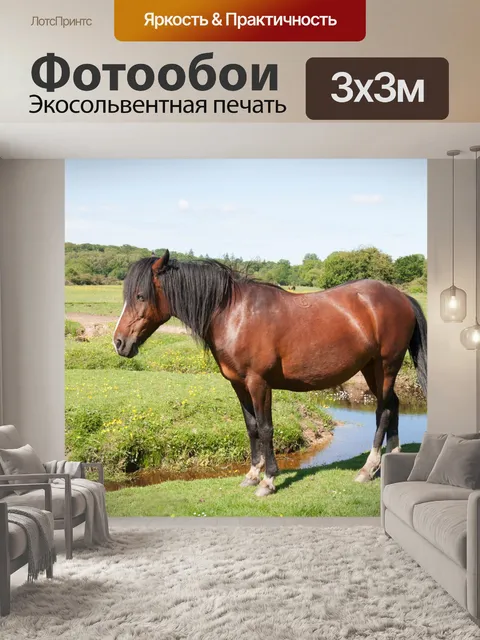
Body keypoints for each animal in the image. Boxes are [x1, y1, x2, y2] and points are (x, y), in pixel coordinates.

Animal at [113, 251, 427, 497]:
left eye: (140, 296)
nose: (119, 343)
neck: (233, 314)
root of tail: (400, 296)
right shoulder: (239, 385)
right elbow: (252, 428)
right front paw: (252, 475)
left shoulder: (259, 383)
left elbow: (266, 428)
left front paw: (268, 480)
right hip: (371, 368)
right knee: (394, 404)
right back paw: (391, 459)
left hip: (385, 366)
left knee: (383, 411)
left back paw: (368, 468)